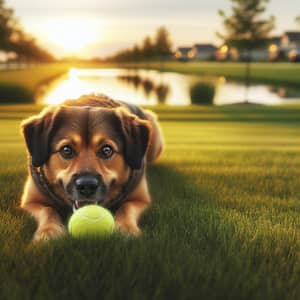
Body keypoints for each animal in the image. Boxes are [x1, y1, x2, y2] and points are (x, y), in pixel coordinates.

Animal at [20, 94, 164, 241]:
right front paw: (48, 231)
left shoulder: (140, 199)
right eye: (66, 150)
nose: (87, 186)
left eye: (107, 150)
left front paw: (127, 229)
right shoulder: (30, 201)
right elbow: (47, 210)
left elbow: (126, 207)